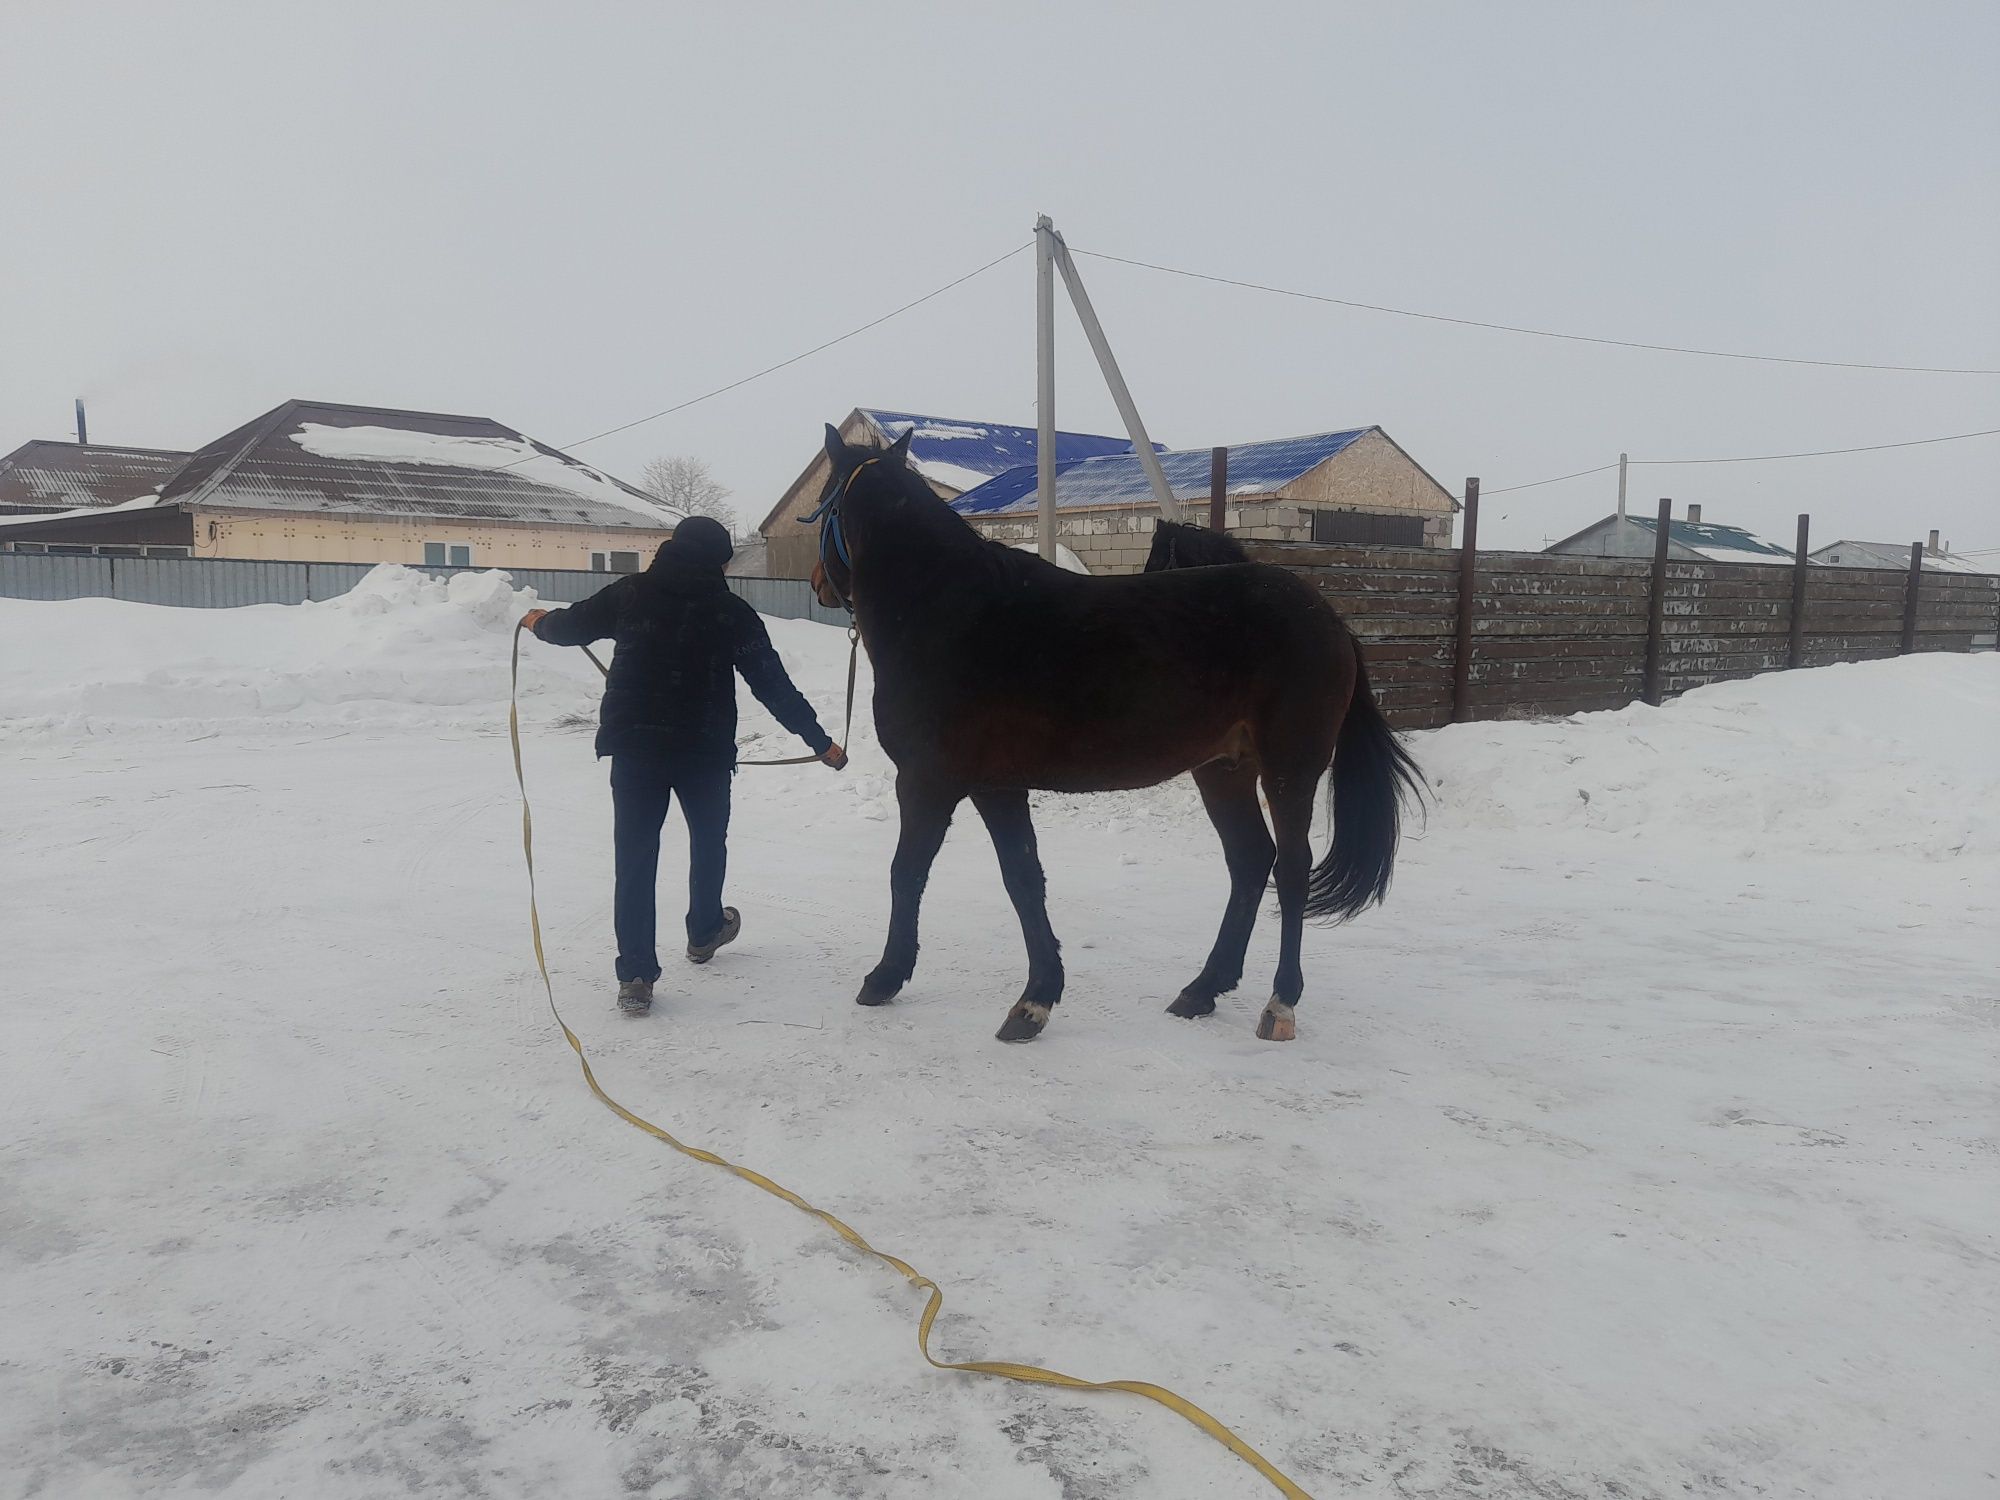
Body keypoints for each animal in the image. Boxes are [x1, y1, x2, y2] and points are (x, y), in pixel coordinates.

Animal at [804, 424, 1416, 1048]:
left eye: (822, 500)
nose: (818, 583)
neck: (949, 613)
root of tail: (1329, 617)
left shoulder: (928, 782)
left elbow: (907, 873)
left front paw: (885, 977)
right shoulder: (996, 786)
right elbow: (1023, 879)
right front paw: (1036, 999)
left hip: (1290, 767)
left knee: (1291, 870)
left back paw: (1279, 1003)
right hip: (1223, 769)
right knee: (1250, 861)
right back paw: (1202, 990)